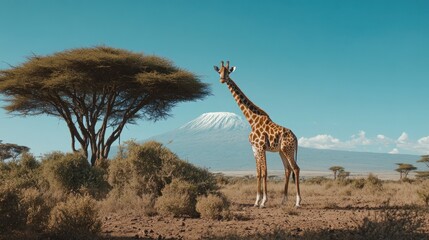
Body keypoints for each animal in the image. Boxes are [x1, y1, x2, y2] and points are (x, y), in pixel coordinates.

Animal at [213, 61, 300, 207]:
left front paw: (263, 201)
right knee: (287, 170)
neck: (252, 121)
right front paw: (256, 201)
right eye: (219, 71)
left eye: (228, 72)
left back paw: (298, 202)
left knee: (296, 169)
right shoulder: (254, 148)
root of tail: (296, 137)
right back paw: (283, 201)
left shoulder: (260, 147)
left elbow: (264, 172)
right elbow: (258, 173)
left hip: (288, 149)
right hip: (281, 151)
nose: (222, 79)